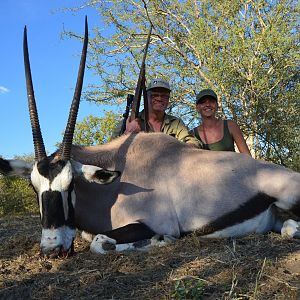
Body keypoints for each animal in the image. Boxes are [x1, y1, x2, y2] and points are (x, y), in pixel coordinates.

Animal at [0, 18, 300, 258]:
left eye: (71, 185)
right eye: (34, 188)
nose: (52, 248)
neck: (115, 180)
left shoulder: (152, 222)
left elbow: (99, 242)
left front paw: (159, 241)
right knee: (287, 226)